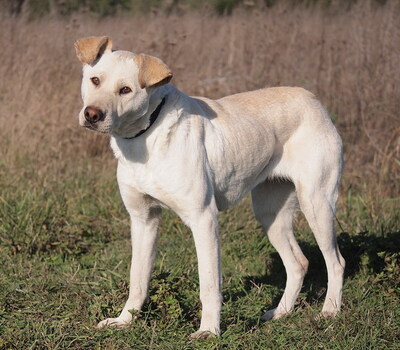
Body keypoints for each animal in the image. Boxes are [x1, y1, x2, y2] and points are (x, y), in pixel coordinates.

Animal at [74, 36, 344, 340]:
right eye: (95, 80)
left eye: (125, 90)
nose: (92, 114)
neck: (147, 136)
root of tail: (314, 100)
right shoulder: (143, 220)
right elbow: (138, 279)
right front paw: (124, 321)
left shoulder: (203, 218)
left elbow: (210, 285)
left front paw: (209, 331)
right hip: (270, 214)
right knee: (298, 263)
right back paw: (280, 313)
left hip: (316, 203)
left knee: (336, 263)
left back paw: (329, 312)